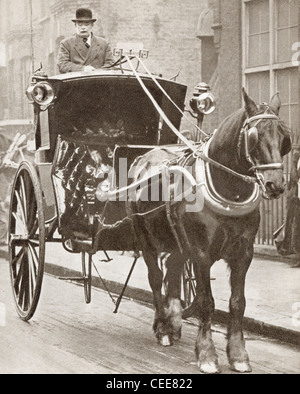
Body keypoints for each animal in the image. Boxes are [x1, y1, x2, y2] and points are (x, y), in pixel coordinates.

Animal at [129, 87, 290, 374]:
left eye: (283, 136)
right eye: (254, 135)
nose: (276, 185)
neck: (228, 189)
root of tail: (143, 157)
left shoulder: (243, 253)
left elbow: (238, 303)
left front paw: (238, 354)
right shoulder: (201, 253)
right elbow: (206, 302)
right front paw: (206, 354)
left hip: (178, 241)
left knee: (172, 270)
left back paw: (174, 321)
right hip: (146, 238)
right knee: (156, 278)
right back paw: (163, 328)